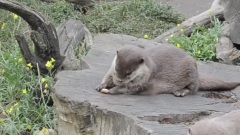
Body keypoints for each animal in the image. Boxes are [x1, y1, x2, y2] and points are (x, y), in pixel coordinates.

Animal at [95, 44, 240, 96]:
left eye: (129, 73)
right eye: (116, 68)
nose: (119, 80)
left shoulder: (142, 83)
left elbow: (127, 89)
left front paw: (114, 89)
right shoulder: (111, 72)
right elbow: (107, 77)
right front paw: (102, 85)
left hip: (192, 71)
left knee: (194, 88)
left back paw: (181, 92)